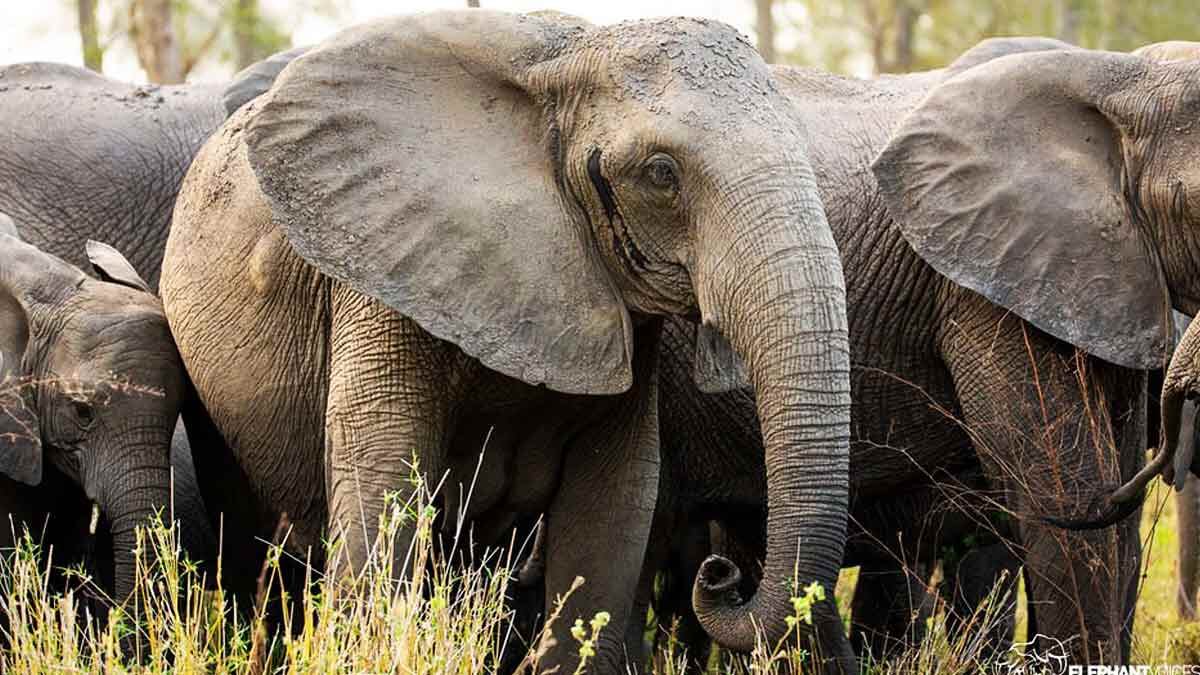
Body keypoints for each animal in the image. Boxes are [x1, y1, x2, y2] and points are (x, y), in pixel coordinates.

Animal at [159, 10, 859, 672]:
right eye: (662, 174)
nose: (721, 574)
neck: (567, 61)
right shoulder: (381, 269)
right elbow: (384, 483)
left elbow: (613, 506)